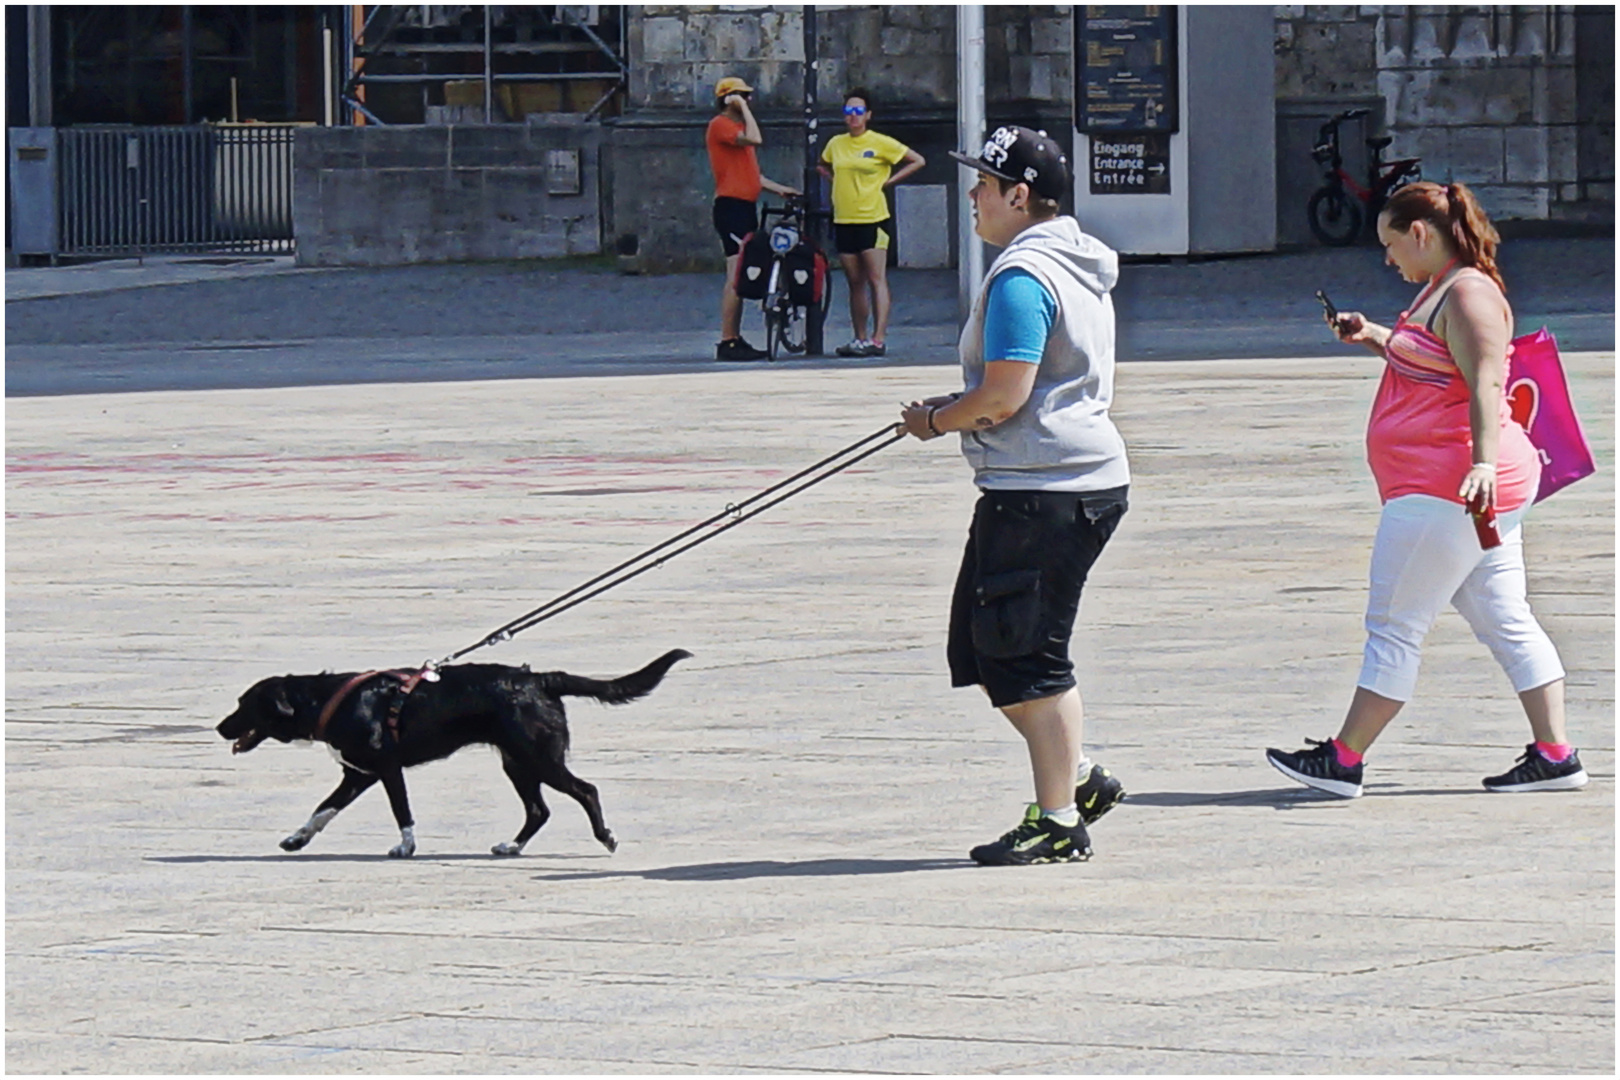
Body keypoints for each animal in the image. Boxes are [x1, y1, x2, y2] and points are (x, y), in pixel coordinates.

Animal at [212, 647, 686, 854]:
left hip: (538, 757)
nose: (218, 728)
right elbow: (323, 809)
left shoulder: (385, 769)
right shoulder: (357, 774)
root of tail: (538, 679)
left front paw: (406, 847)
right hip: (517, 762)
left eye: (243, 704)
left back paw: (605, 836)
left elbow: (401, 812)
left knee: (586, 791)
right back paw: (512, 846)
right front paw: (298, 837)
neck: (330, 700)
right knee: (539, 810)